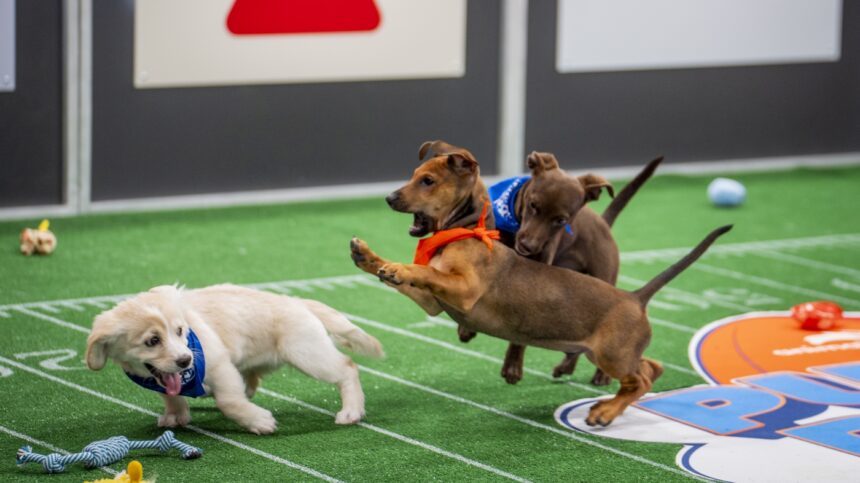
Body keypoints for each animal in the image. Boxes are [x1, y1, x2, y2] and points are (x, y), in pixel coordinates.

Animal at [86, 286, 382, 436]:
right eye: (152, 341)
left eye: (180, 331)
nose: (185, 360)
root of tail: (299, 302)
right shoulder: (164, 379)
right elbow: (172, 396)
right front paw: (176, 415)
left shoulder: (219, 366)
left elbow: (229, 403)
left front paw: (260, 422)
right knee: (251, 382)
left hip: (307, 354)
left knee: (347, 368)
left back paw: (351, 411)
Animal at [352, 141, 728, 428]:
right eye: (414, 176)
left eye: (428, 181)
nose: (389, 198)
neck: (465, 230)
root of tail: (636, 297)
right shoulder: (434, 302)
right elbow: (414, 275)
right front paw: (371, 258)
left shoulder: (464, 290)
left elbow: (424, 271)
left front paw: (398, 267)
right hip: (611, 351)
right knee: (652, 367)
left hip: (611, 355)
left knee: (642, 379)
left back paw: (604, 412)